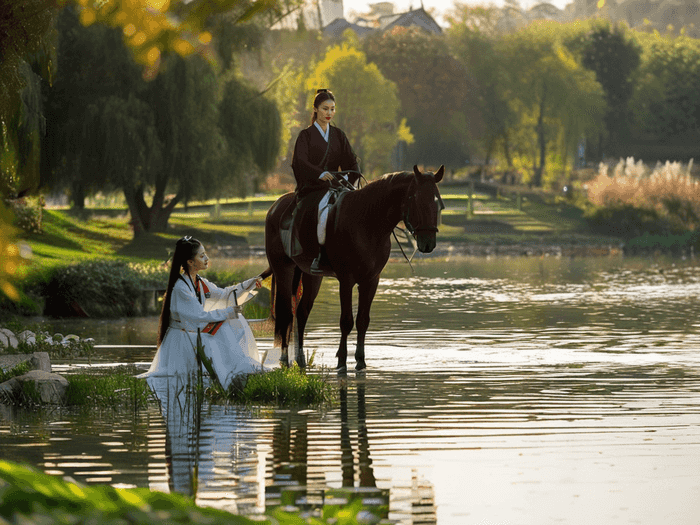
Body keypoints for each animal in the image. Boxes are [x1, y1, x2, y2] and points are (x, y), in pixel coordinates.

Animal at [262, 166, 442, 370]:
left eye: (437, 202)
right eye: (417, 199)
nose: (428, 244)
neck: (367, 223)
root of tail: (275, 207)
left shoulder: (371, 280)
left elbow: (363, 320)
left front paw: (360, 360)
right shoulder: (346, 280)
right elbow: (346, 321)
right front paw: (342, 361)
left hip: (311, 275)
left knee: (301, 312)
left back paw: (300, 359)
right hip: (283, 270)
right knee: (285, 312)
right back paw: (284, 358)